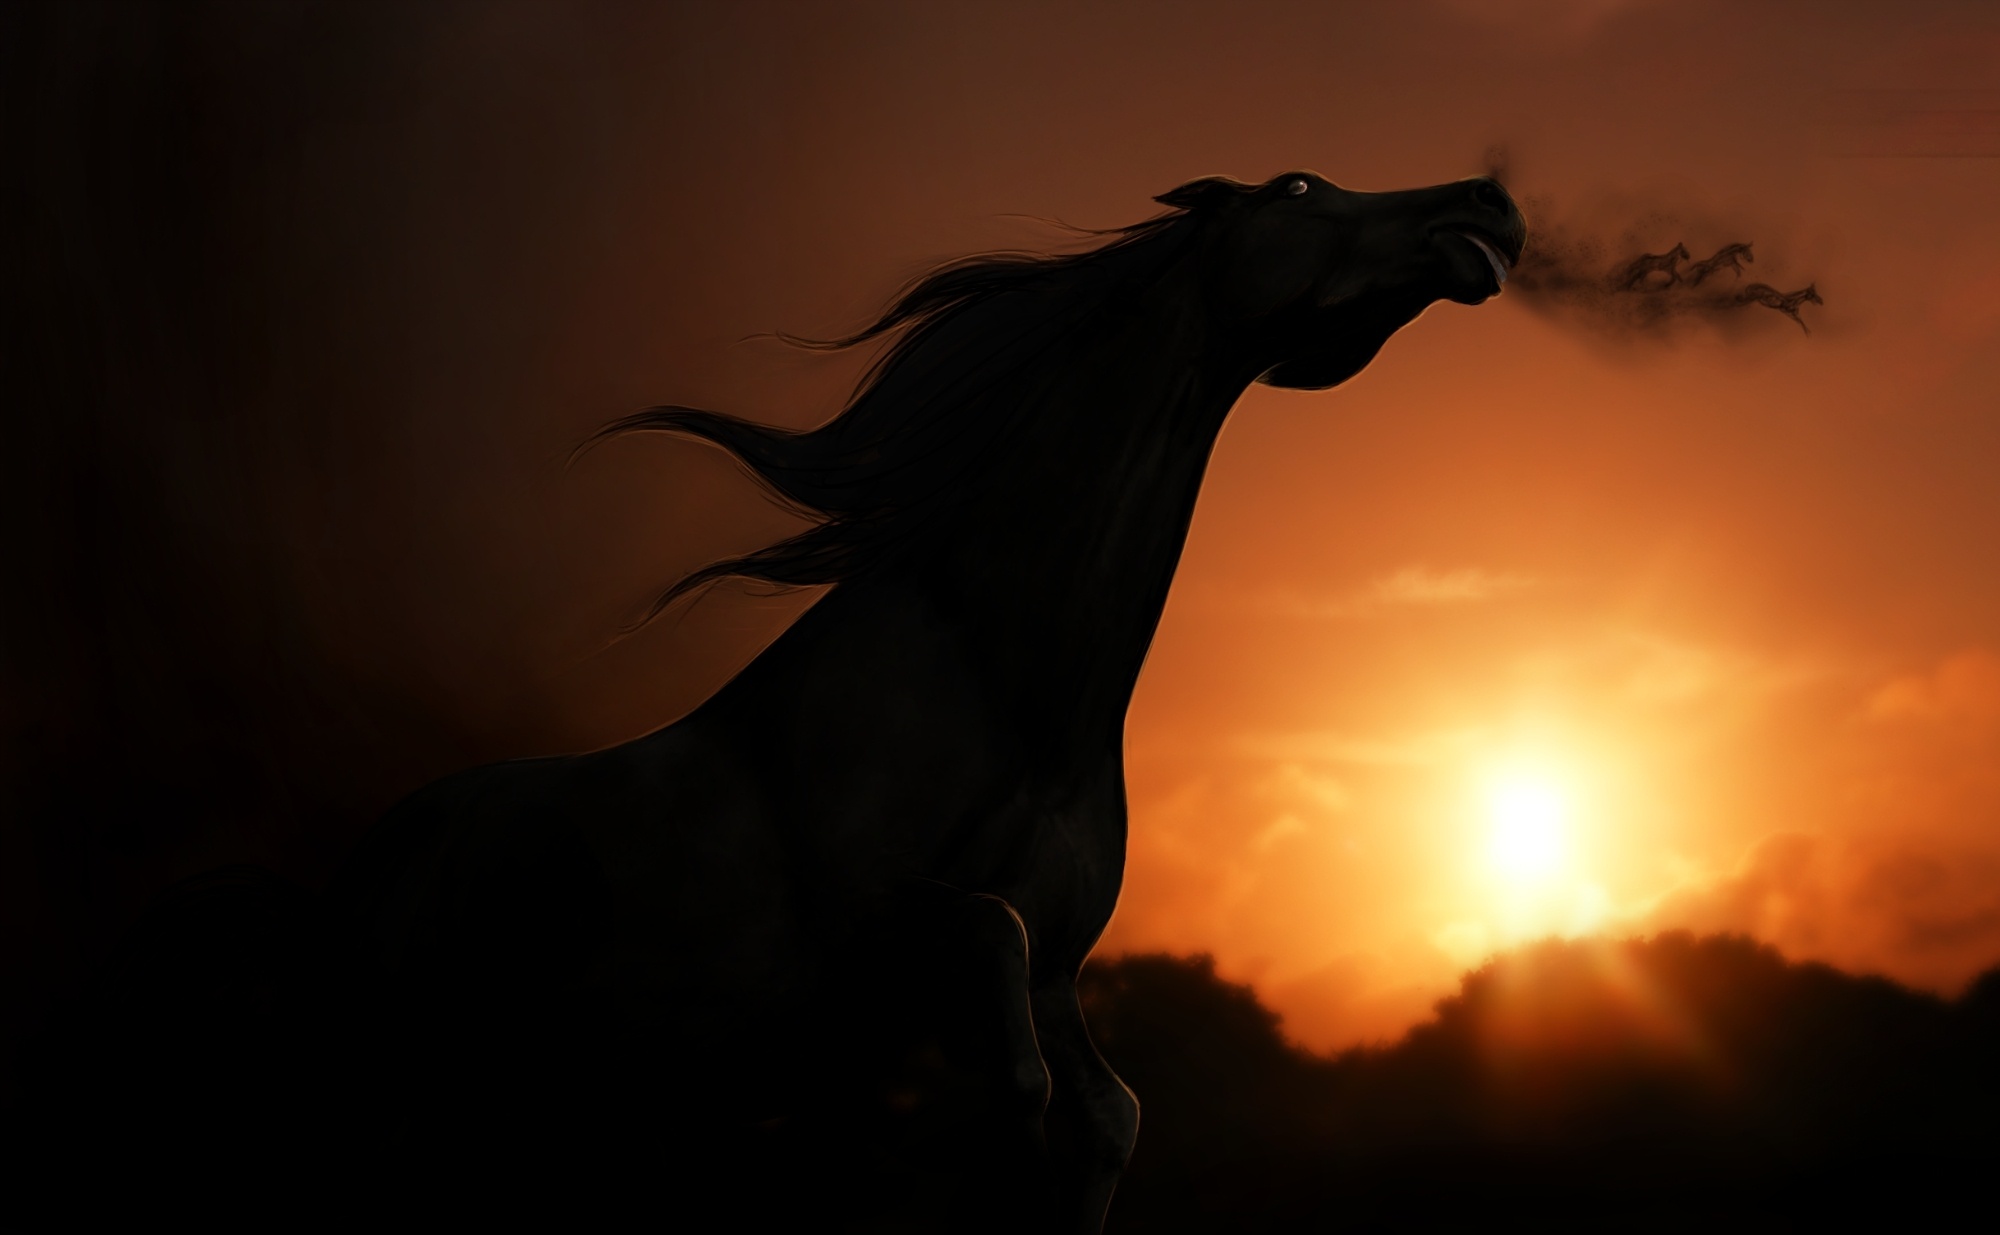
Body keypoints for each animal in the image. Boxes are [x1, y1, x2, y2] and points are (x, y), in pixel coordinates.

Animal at [285, 169, 1525, 1229]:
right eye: (1297, 186)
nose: (1487, 204)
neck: (995, 681)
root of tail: (377, 857)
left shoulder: (1053, 968)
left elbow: (1107, 1111)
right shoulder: (878, 929)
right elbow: (1004, 1030)